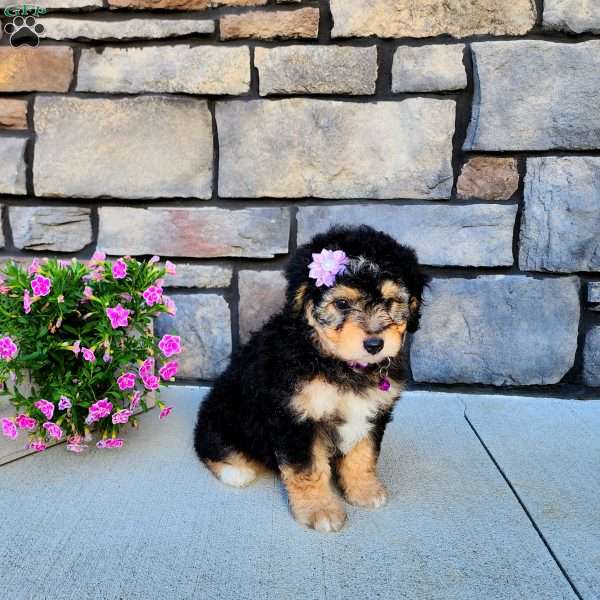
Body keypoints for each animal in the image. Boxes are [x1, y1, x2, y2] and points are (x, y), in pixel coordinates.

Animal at [195, 224, 428, 528]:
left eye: (390, 302)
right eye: (342, 303)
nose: (375, 344)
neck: (339, 363)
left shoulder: (372, 411)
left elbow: (362, 454)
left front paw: (363, 490)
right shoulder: (295, 417)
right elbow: (307, 468)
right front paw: (321, 510)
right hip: (224, 412)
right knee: (211, 444)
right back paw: (235, 471)